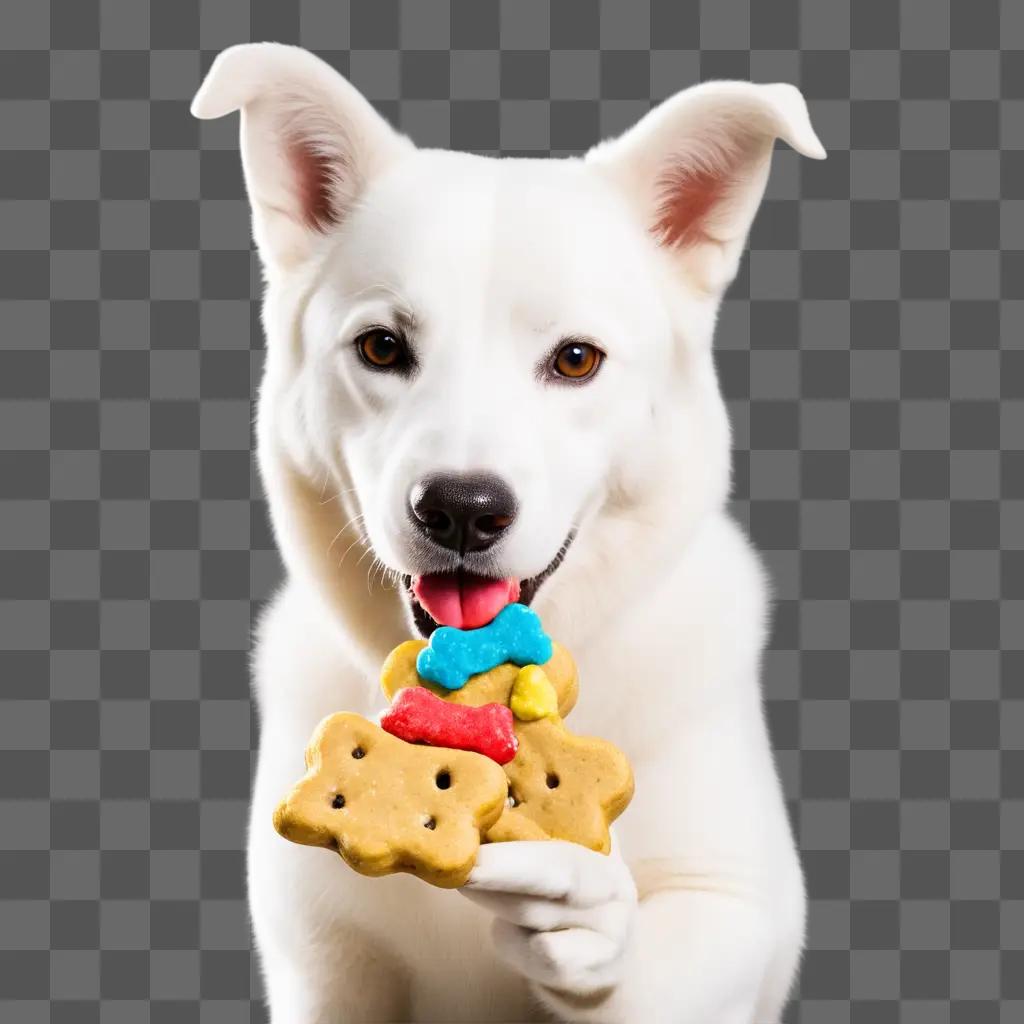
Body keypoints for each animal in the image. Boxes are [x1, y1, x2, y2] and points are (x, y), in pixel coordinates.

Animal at [193, 44, 823, 1019]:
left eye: (576, 360)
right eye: (381, 348)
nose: (461, 507)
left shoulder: (739, 909)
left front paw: (586, 917)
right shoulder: (325, 966)